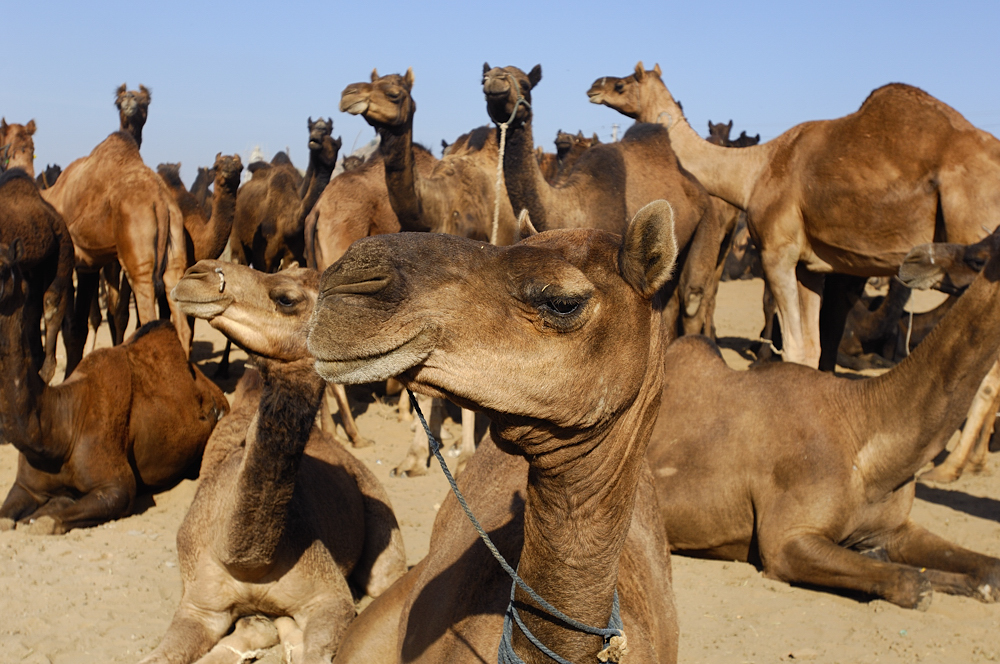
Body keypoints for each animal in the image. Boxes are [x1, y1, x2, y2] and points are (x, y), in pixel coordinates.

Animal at [0, 168, 74, 384]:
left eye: (2, 269)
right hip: (32, 268)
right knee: (31, 309)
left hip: (62, 249)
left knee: (51, 302)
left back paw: (45, 371)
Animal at [0, 240, 227, 534]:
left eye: (3, 269)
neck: (58, 428)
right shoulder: (25, 486)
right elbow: (6, 518)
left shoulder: (116, 487)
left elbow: (50, 522)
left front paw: (45, 515)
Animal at [483, 63, 720, 343]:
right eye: (483, 79)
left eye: (525, 84)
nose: (494, 81)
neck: (571, 206)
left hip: (709, 220)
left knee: (692, 295)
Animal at [588, 62, 1000, 368]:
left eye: (623, 83)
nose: (594, 85)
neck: (752, 172)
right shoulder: (810, 266)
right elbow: (811, 348)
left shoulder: (777, 252)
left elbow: (796, 347)